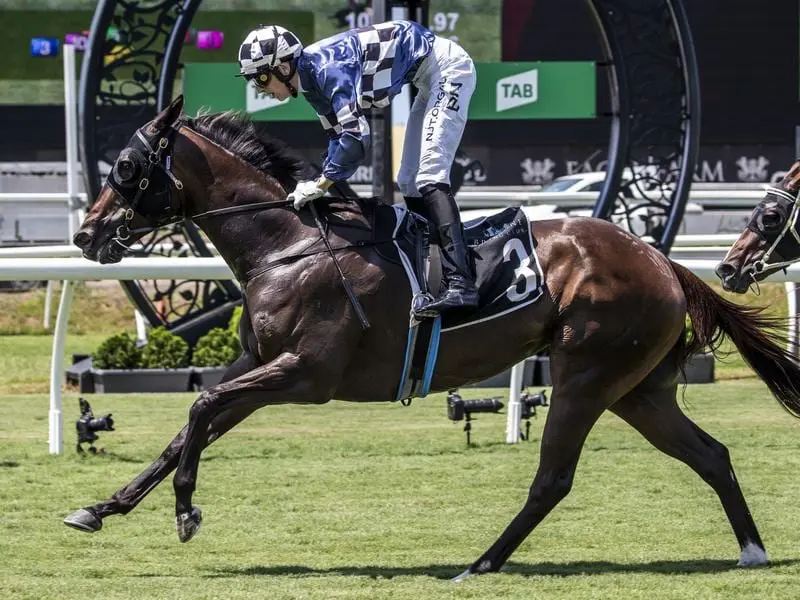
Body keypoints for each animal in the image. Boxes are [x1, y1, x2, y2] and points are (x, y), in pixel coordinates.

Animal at [65, 96, 800, 580]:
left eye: (126, 166)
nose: (85, 233)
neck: (288, 243)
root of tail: (663, 261)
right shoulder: (259, 363)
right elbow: (186, 429)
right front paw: (100, 508)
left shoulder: (306, 373)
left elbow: (198, 406)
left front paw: (186, 512)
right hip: (637, 390)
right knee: (710, 455)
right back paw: (752, 551)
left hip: (586, 376)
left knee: (553, 478)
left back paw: (481, 563)